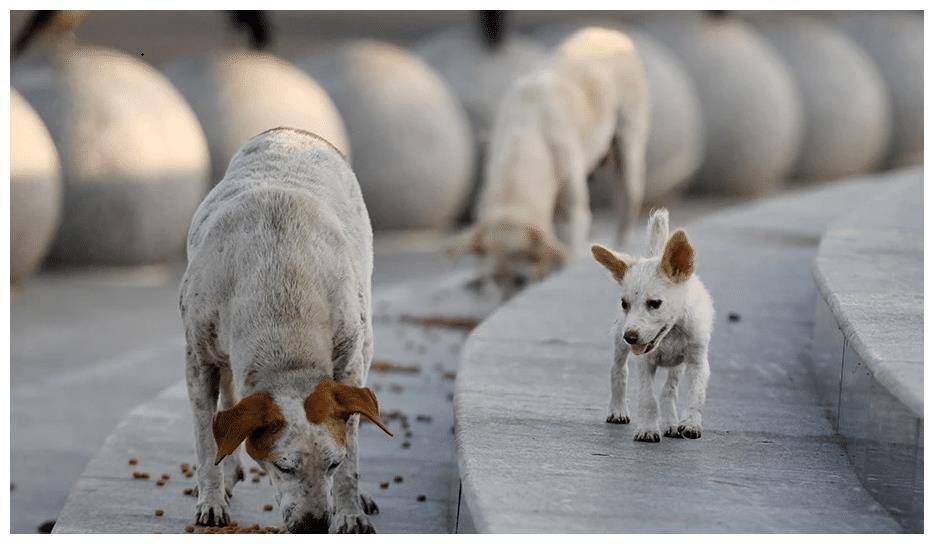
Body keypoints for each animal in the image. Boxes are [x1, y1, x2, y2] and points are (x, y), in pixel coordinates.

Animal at [180, 127, 394, 532]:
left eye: (332, 463)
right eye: (283, 466)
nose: (315, 524)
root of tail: (292, 131)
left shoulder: (349, 365)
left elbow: (353, 449)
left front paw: (349, 510)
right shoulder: (199, 361)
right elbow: (204, 439)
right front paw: (211, 499)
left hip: (368, 338)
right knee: (226, 405)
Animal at [454, 27, 652, 300]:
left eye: (521, 280)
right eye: (495, 280)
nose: (507, 304)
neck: (526, 130)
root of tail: (609, 32)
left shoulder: (575, 215)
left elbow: (568, 253)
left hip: (630, 160)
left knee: (625, 210)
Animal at [592, 208, 716, 442]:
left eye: (655, 303)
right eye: (624, 304)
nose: (630, 337)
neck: (670, 334)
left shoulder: (698, 362)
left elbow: (695, 395)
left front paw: (690, 423)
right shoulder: (645, 363)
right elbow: (648, 398)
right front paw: (648, 429)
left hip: (677, 365)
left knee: (669, 390)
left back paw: (671, 424)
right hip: (619, 345)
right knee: (618, 371)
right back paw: (618, 410)